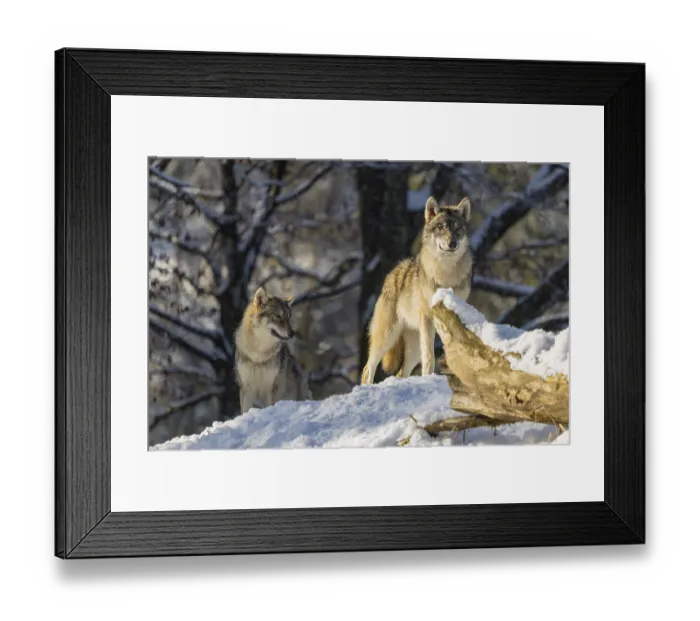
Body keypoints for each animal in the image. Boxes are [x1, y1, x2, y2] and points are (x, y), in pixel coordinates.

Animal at [361, 196, 473, 385]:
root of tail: (393, 273)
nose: (452, 243)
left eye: (458, 229)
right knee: (367, 368)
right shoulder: (427, 319)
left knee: (401, 372)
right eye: (441, 227)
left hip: (412, 346)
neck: (446, 274)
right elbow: (429, 356)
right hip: (388, 337)